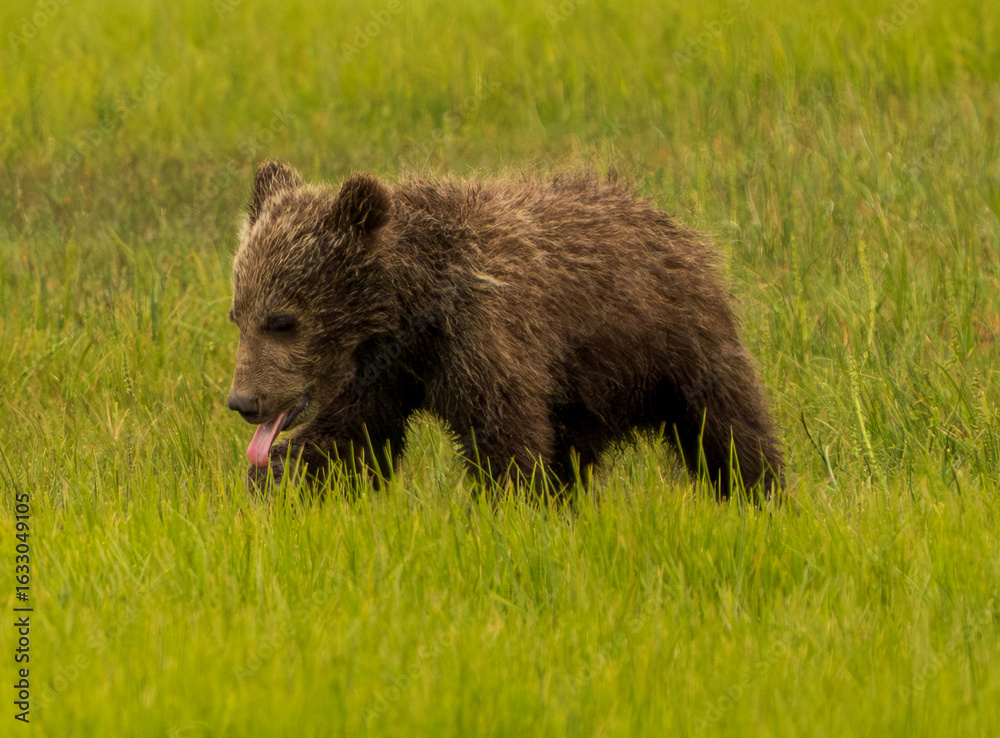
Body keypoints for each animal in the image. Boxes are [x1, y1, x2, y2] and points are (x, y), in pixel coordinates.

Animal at [226, 161, 783, 498]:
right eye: (238, 315)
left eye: (282, 320)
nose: (243, 401)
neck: (412, 309)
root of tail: (668, 221)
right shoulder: (382, 374)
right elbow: (349, 442)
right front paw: (273, 486)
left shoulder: (482, 337)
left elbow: (505, 441)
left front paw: (512, 510)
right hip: (581, 393)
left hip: (675, 343)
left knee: (725, 426)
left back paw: (759, 493)